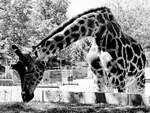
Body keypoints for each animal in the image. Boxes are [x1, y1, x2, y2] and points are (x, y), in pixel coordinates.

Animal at [12, 7, 146, 102]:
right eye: (18, 72)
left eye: (31, 71)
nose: (25, 97)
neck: (99, 33)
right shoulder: (98, 77)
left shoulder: (118, 75)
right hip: (126, 81)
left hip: (138, 78)